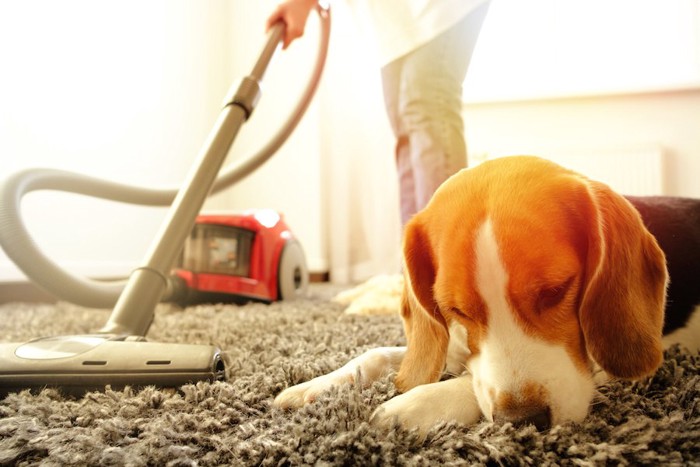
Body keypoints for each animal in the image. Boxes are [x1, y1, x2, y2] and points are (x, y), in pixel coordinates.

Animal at [274, 156, 700, 436]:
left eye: (557, 291)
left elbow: (470, 383)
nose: (524, 422)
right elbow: (377, 355)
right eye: (455, 310)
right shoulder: (450, 343)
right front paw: (316, 387)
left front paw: (413, 405)